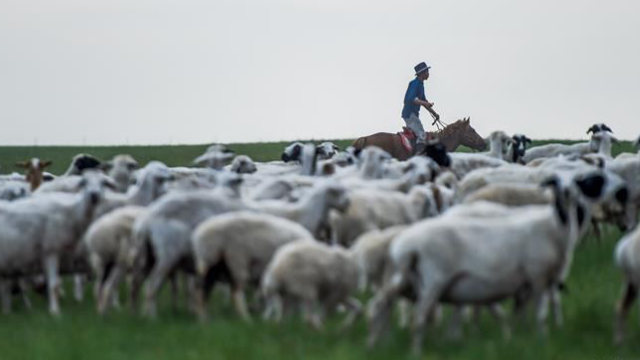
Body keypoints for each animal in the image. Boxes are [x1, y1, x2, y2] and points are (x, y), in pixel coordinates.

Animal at [368, 170, 628, 352]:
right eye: (594, 181)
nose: (622, 189)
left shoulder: (528, 283)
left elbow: (522, 311)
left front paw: (522, 335)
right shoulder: (540, 277)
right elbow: (546, 307)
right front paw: (546, 335)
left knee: (389, 303)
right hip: (436, 280)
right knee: (418, 313)